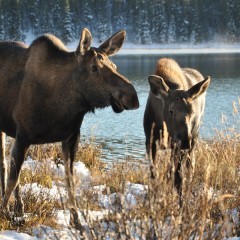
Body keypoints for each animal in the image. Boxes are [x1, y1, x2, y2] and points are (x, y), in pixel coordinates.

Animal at [0, 28, 139, 229]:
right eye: (94, 68)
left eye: (114, 66)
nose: (132, 96)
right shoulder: (23, 136)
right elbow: (13, 178)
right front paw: (3, 214)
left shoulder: (71, 137)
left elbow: (70, 180)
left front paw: (76, 221)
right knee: (6, 166)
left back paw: (19, 208)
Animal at [144, 58, 210, 193]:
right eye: (171, 111)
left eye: (192, 111)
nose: (185, 140)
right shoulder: (150, 141)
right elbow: (153, 174)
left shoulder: (179, 146)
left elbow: (178, 177)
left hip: (193, 138)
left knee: (190, 164)